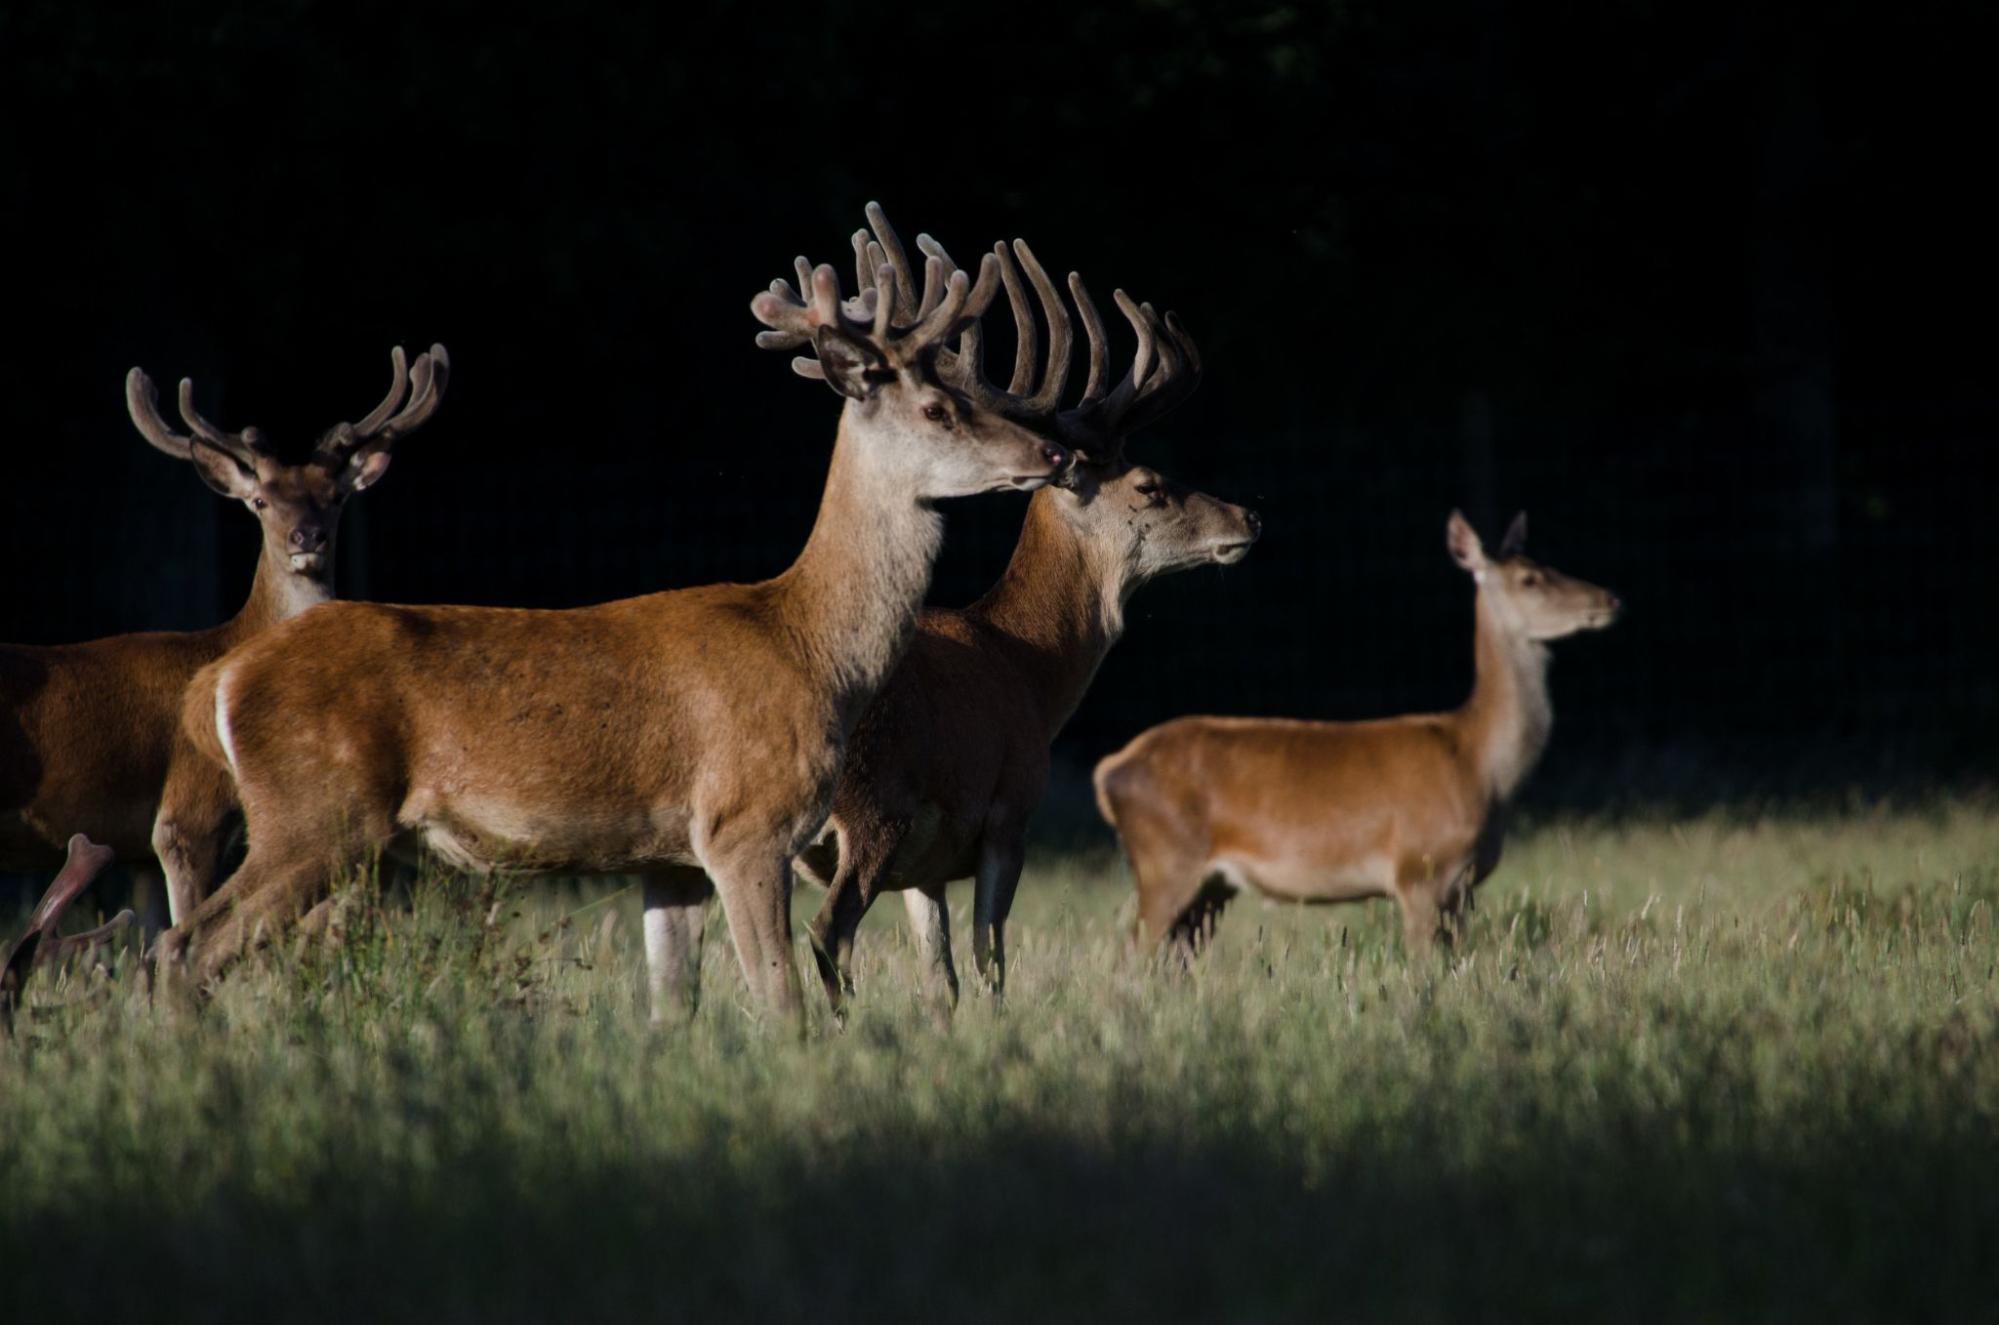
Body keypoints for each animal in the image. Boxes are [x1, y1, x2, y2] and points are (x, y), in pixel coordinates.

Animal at [151, 209, 1079, 1039]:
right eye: (937, 409)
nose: (1053, 454)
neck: (813, 649)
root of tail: (218, 681)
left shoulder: (669, 860)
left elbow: (673, 1007)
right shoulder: (745, 821)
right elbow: (782, 1002)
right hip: (316, 812)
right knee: (187, 945)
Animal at [783, 227, 1263, 1015]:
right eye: (1149, 486)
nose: (1248, 518)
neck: (1028, 667)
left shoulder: (925, 865)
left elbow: (941, 975)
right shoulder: (1009, 813)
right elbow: (991, 960)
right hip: (873, 806)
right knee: (827, 931)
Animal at [1087, 507, 1615, 955]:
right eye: (1530, 579)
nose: (1610, 599)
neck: (1481, 763)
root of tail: (1109, 770)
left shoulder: (1460, 888)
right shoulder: (1419, 869)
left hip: (1211, 886)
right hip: (1165, 859)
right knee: (1131, 955)